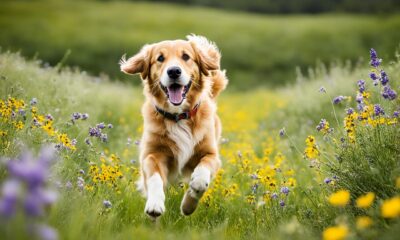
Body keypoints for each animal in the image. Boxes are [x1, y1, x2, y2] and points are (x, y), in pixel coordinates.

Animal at [119, 34, 228, 218]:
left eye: (186, 56)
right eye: (160, 58)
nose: (174, 71)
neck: (178, 116)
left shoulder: (211, 153)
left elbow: (202, 173)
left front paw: (189, 203)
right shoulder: (152, 154)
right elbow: (155, 178)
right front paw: (155, 204)